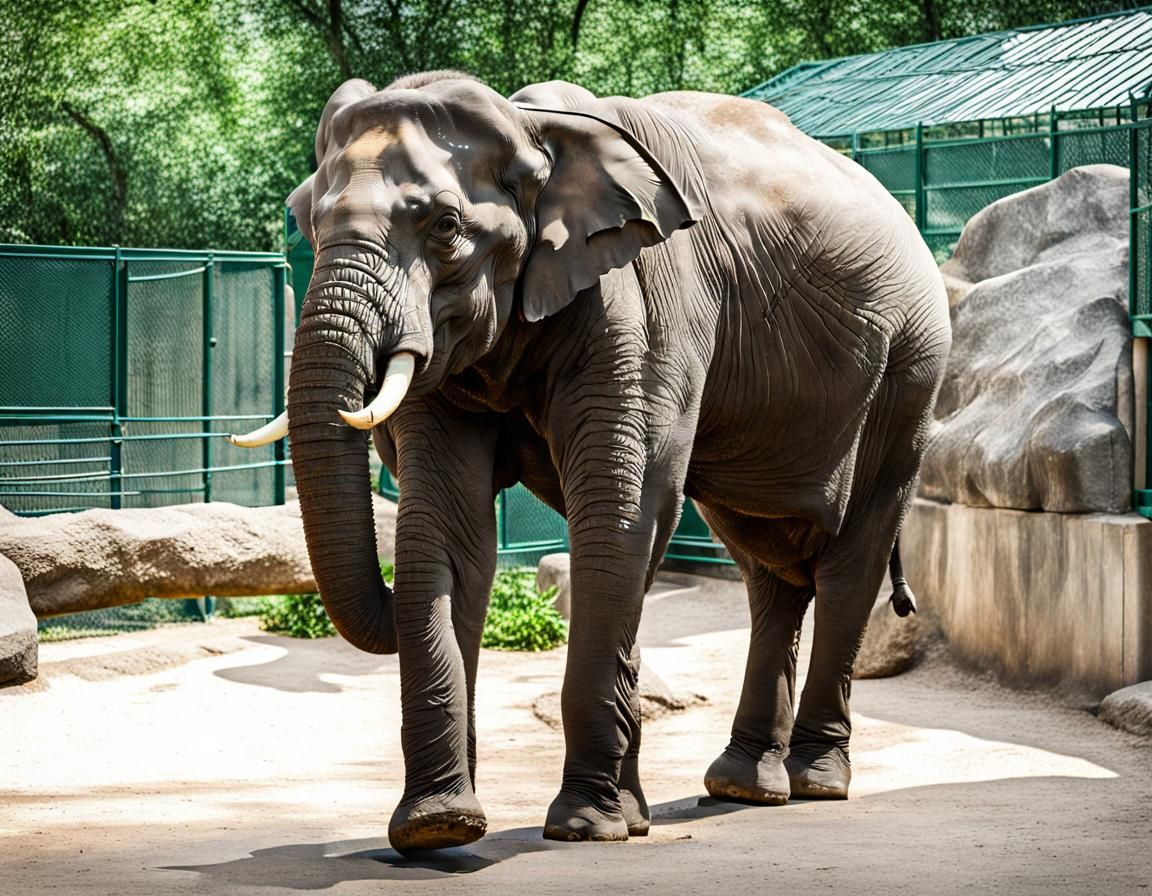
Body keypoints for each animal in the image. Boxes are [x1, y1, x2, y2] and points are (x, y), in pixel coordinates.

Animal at [231, 69, 950, 852]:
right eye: (307, 223)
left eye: (446, 227)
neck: (533, 131)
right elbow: (447, 530)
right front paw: (439, 829)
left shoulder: (642, 302)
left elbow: (621, 512)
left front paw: (586, 827)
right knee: (766, 567)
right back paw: (741, 785)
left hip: (909, 372)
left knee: (849, 561)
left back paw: (814, 783)